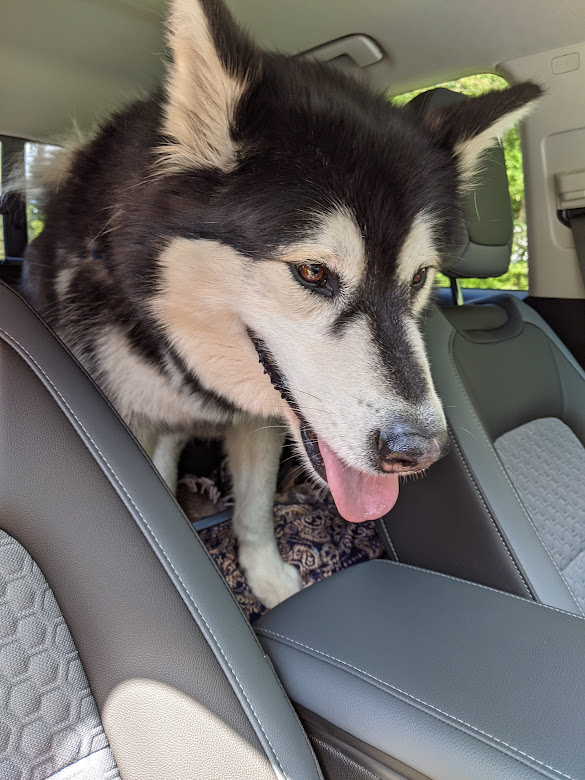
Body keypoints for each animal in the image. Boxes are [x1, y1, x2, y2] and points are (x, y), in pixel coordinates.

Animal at [22, 0, 541, 607]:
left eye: (418, 277)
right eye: (313, 272)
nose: (419, 451)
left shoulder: (262, 423)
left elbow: (253, 509)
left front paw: (268, 579)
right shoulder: (130, 419)